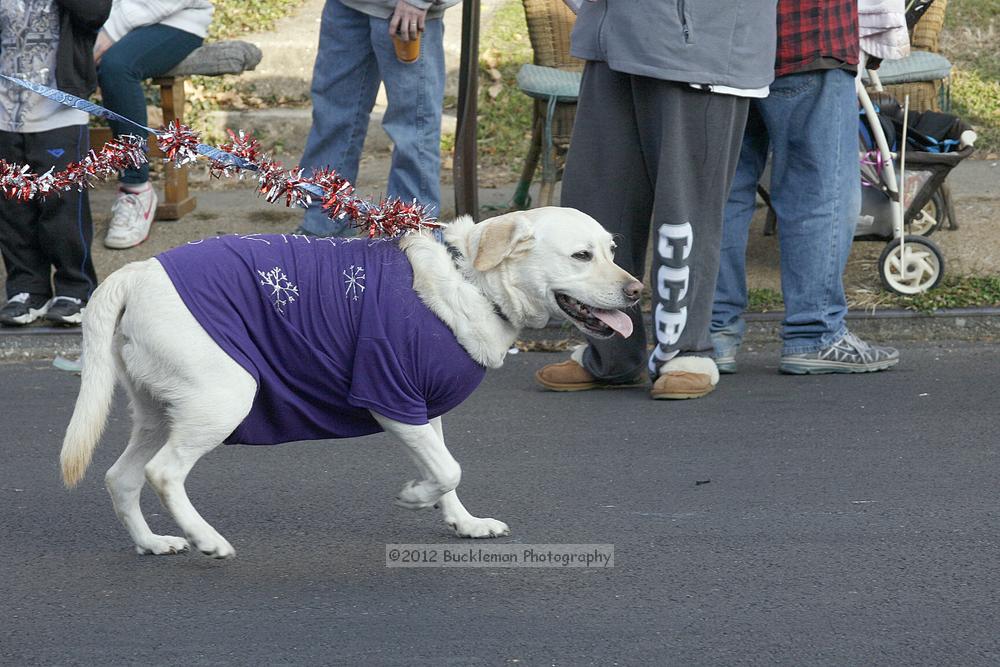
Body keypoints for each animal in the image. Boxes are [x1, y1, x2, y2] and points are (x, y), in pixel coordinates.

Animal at [62, 209, 640, 560]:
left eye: (612, 250)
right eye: (582, 256)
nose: (638, 291)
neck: (472, 280)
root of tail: (137, 272)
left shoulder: (422, 409)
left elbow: (447, 470)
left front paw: (464, 523)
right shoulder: (390, 395)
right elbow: (448, 469)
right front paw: (415, 496)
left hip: (159, 413)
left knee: (120, 477)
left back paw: (153, 542)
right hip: (221, 400)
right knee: (162, 474)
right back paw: (206, 539)